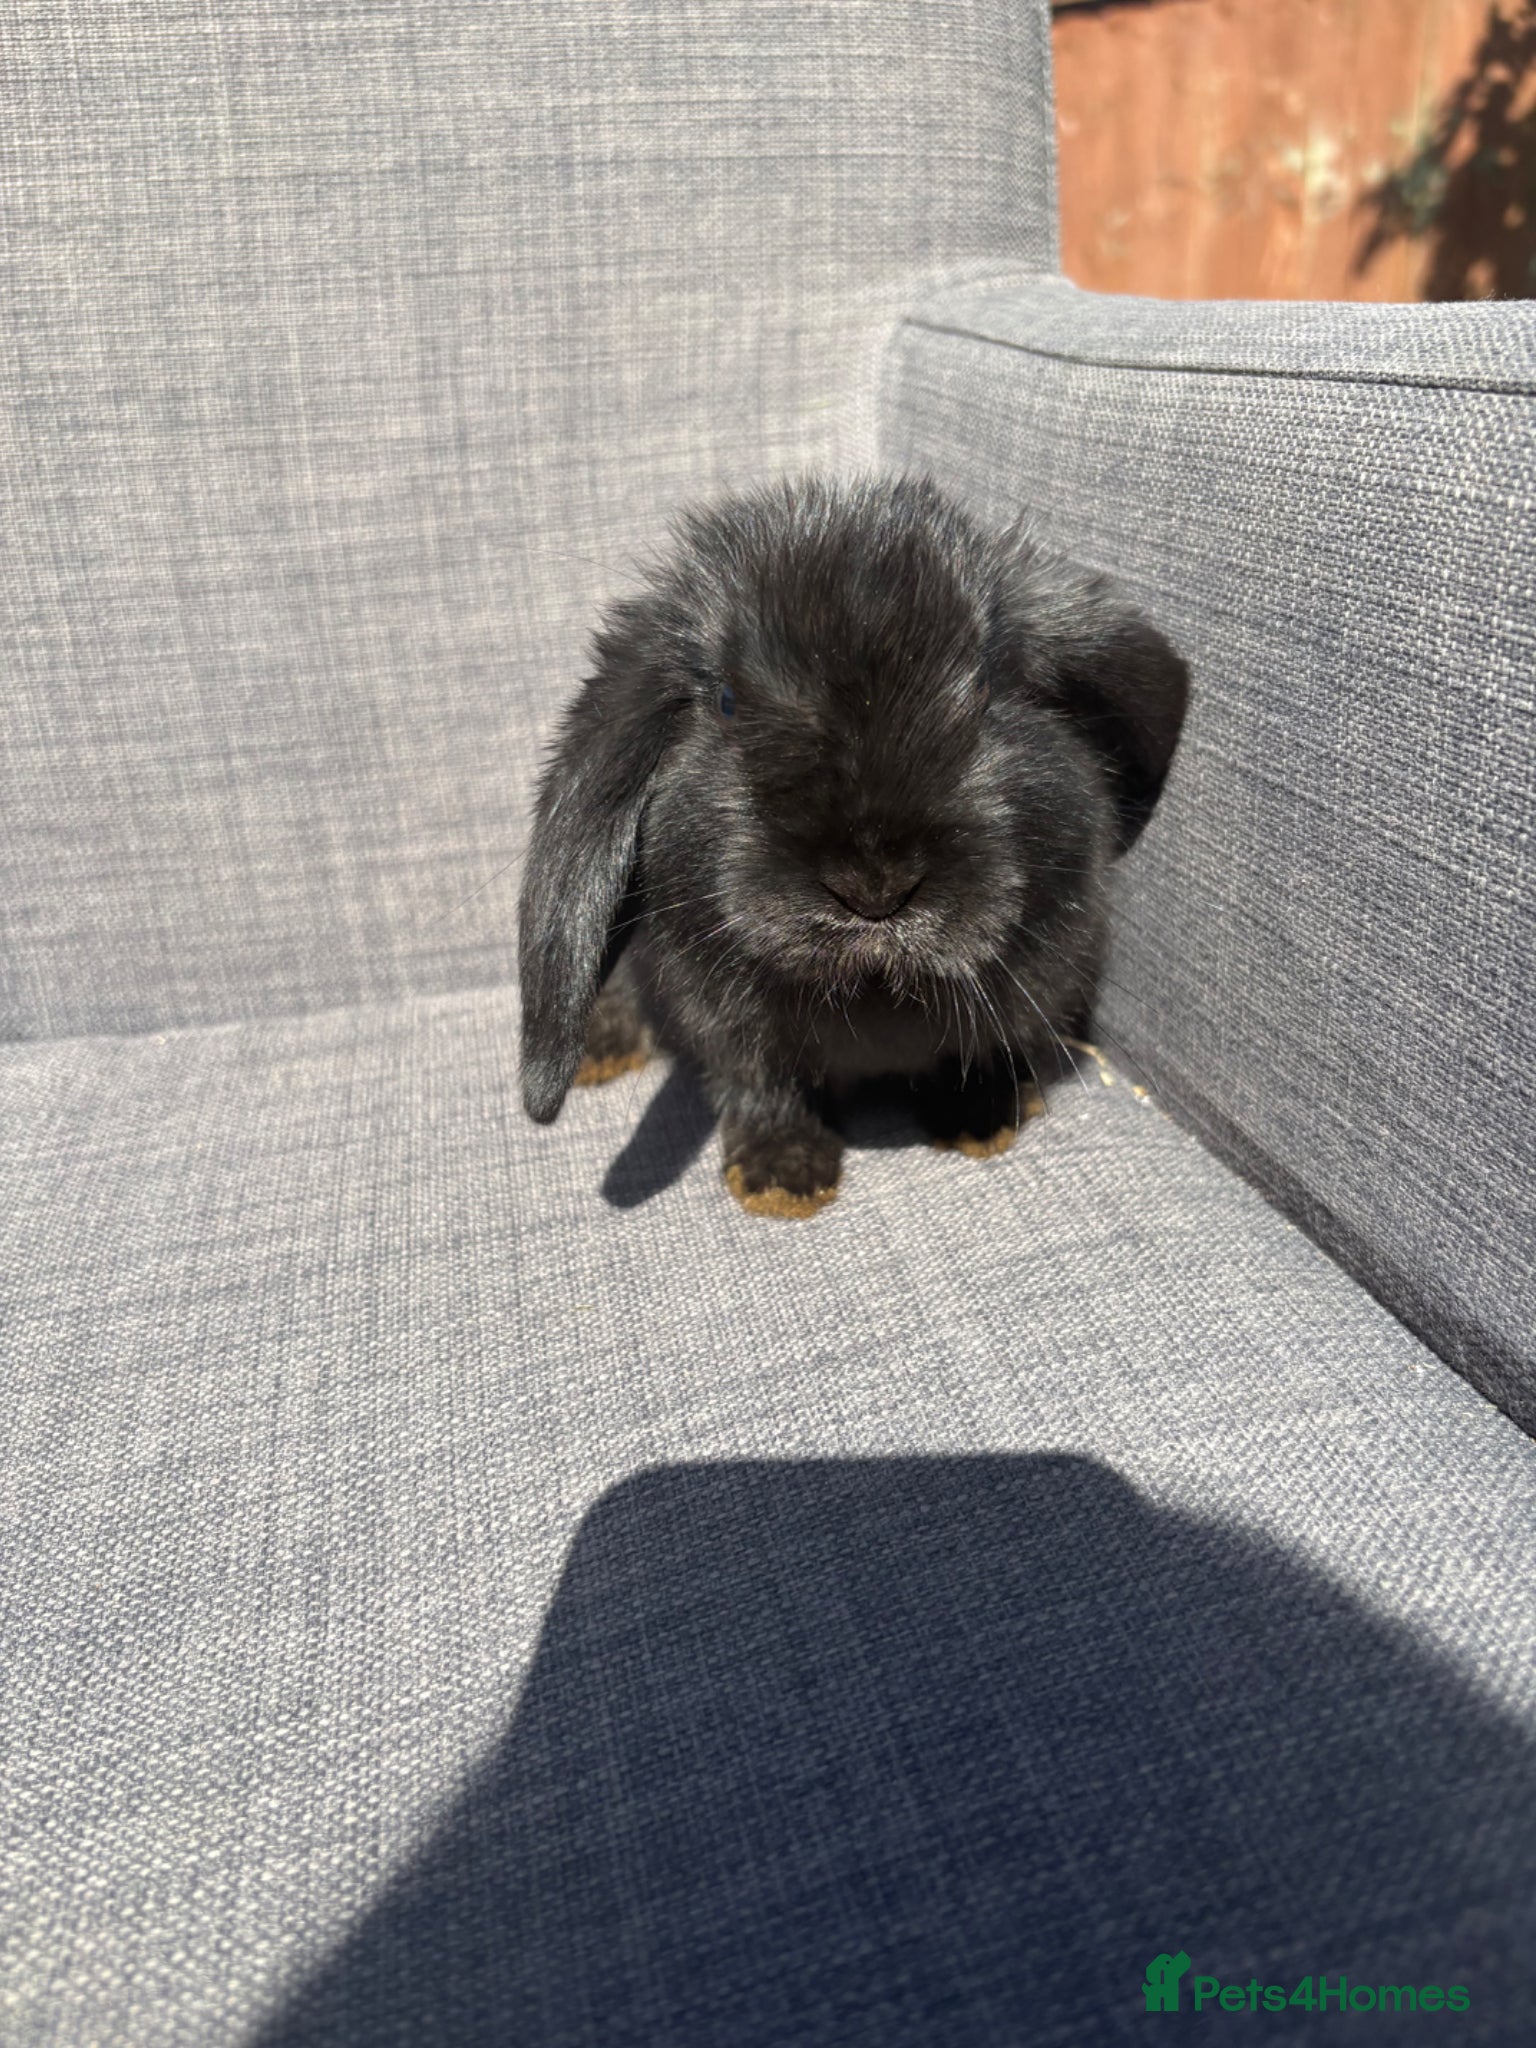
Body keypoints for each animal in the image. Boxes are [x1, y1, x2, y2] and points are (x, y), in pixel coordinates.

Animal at [519, 472, 1188, 1217]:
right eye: (727, 703)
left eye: (989, 689)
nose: (874, 887)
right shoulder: (726, 1027)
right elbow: (759, 1085)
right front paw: (781, 1178)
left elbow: (986, 1048)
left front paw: (982, 1117)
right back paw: (602, 1049)